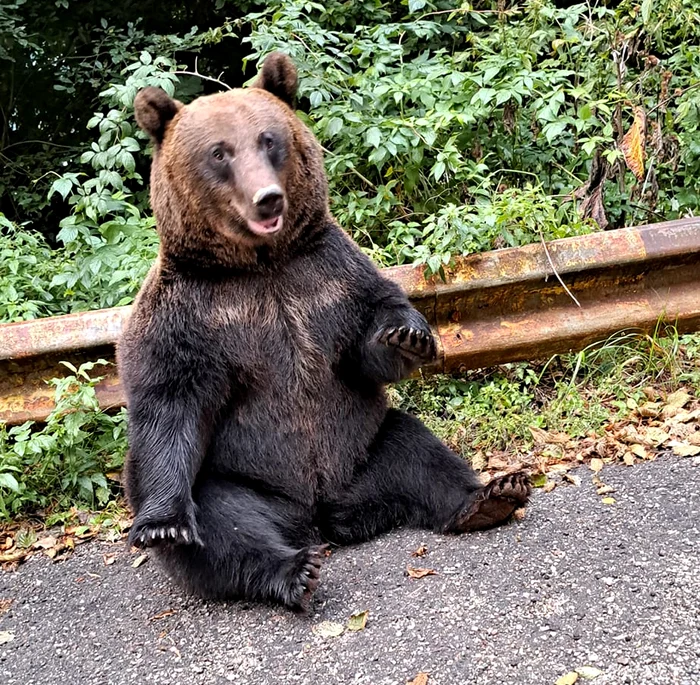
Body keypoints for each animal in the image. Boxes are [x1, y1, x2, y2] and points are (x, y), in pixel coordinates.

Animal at [117, 52, 528, 608]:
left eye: (269, 139)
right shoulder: (193, 313)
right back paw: (293, 569)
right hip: (244, 475)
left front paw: (408, 336)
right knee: (224, 524)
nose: (267, 199)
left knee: (418, 451)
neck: (261, 266)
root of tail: (321, 514)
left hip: (364, 445)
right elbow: (170, 400)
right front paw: (162, 523)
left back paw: (489, 496)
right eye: (219, 152)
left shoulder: (326, 277)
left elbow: (365, 337)